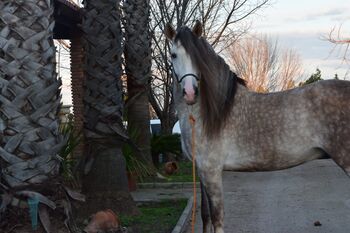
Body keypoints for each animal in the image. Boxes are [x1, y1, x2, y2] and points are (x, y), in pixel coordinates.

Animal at [165, 20, 350, 233]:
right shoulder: (201, 172)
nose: (190, 92)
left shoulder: (212, 172)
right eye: (173, 54)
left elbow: (217, 218)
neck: (209, 113)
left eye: (199, 57)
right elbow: (206, 216)